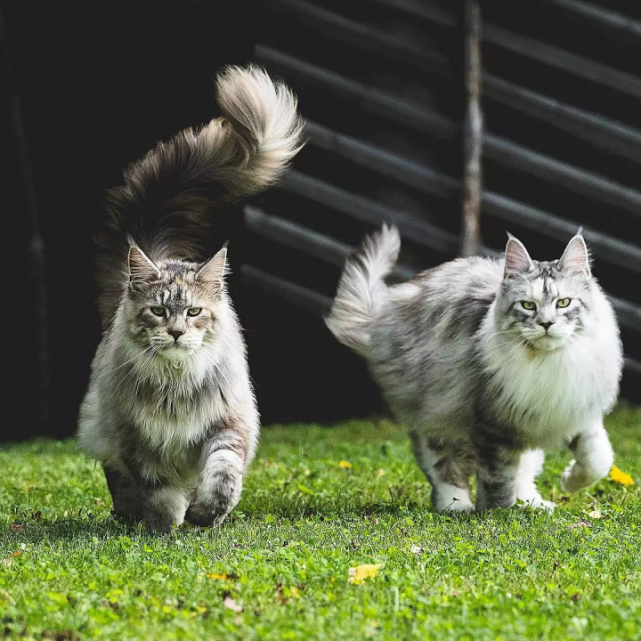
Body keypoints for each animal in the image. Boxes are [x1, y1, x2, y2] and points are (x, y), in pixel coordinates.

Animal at [77, 67, 302, 532]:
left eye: (194, 311)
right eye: (160, 311)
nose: (178, 332)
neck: (176, 387)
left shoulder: (228, 426)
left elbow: (222, 475)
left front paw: (205, 514)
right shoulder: (137, 441)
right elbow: (159, 489)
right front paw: (166, 525)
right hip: (103, 428)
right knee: (119, 481)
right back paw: (130, 516)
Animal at [324, 225, 620, 510]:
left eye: (563, 303)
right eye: (528, 305)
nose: (546, 323)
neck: (547, 364)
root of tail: (382, 318)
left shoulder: (573, 409)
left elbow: (599, 459)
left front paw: (569, 481)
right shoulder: (494, 426)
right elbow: (498, 478)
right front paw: (496, 512)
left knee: (524, 472)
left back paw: (533, 503)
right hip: (436, 417)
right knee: (442, 468)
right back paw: (457, 506)